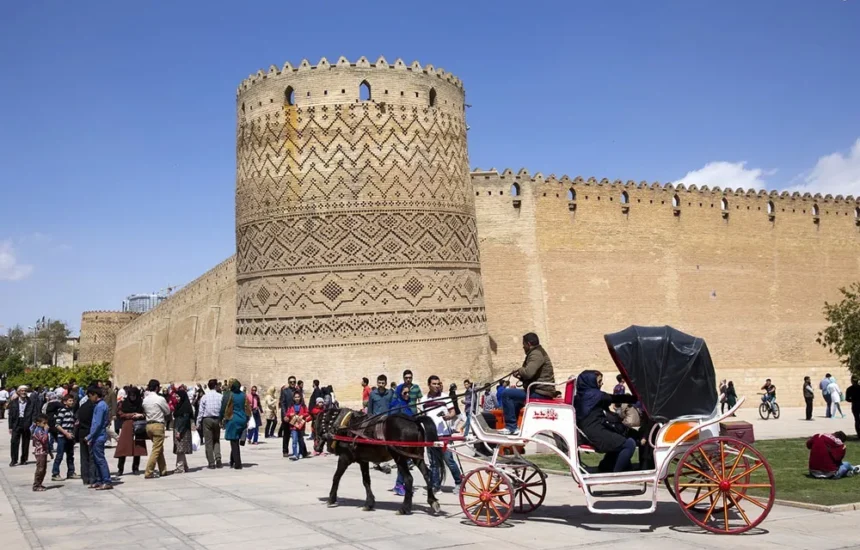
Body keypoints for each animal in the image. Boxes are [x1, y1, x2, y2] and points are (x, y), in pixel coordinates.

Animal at [312, 410, 444, 516]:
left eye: (314, 426)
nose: (316, 448)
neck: (344, 427)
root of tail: (414, 421)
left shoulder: (345, 458)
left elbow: (336, 477)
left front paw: (331, 498)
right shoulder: (363, 461)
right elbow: (366, 481)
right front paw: (369, 503)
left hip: (400, 457)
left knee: (409, 479)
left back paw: (404, 508)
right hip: (417, 456)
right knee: (426, 474)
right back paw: (432, 501)